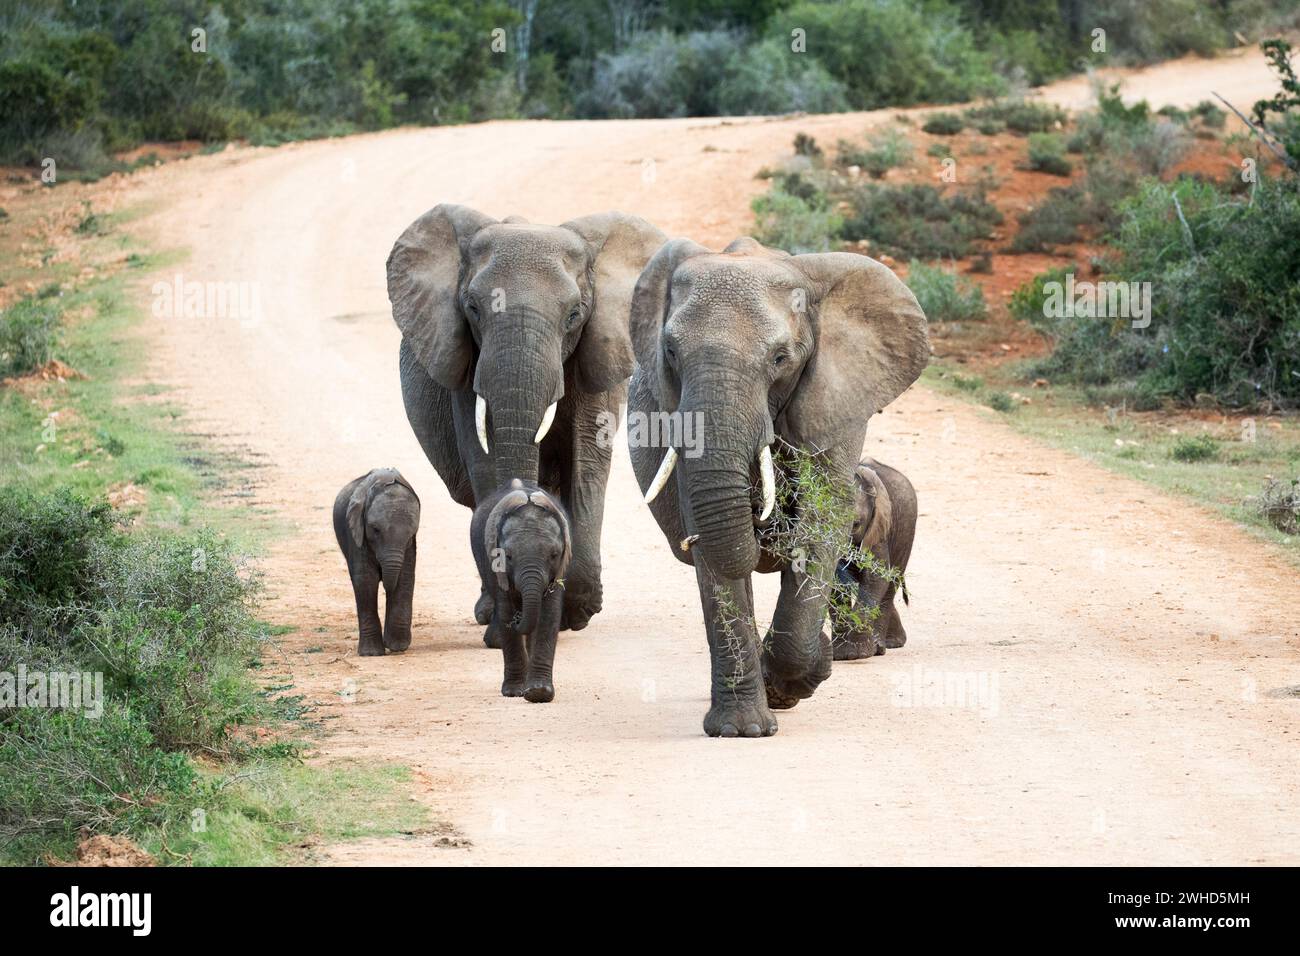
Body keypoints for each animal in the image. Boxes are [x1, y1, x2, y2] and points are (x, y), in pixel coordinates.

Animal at [332, 468, 418, 658]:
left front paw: (397, 646)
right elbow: (366, 580)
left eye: (411, 533)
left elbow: (405, 577)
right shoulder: (357, 534)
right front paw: (371, 654)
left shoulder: (410, 546)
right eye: (375, 530)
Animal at [387, 208, 665, 642]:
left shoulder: (596, 352)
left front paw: (575, 612)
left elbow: (586, 459)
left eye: (574, 315)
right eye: (473, 308)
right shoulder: (467, 366)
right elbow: (484, 458)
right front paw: (508, 626)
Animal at [467, 478, 569, 702]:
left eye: (554, 555)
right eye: (508, 556)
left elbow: (549, 614)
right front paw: (514, 693)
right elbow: (505, 610)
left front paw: (539, 693)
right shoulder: (496, 568)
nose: (517, 621)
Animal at [832, 460, 915, 660]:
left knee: (890, 585)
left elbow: (876, 578)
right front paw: (839, 654)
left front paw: (856, 654)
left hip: (906, 531)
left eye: (856, 524)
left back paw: (884, 646)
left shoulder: (879, 528)